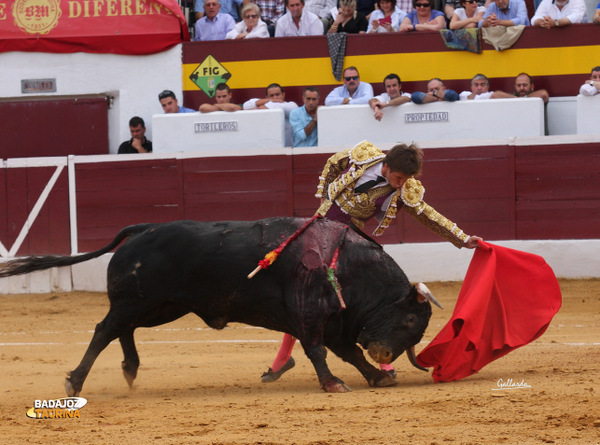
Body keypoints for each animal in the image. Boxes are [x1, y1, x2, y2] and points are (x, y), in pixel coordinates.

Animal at [0, 217, 434, 394]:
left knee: (123, 330)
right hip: (136, 302)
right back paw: (75, 381)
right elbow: (319, 351)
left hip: (159, 307)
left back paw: (129, 369)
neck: (345, 263)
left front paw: (376, 377)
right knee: (104, 330)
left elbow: (347, 353)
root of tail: (141, 230)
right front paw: (333, 384)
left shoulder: (335, 323)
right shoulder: (310, 313)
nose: (384, 354)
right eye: (410, 317)